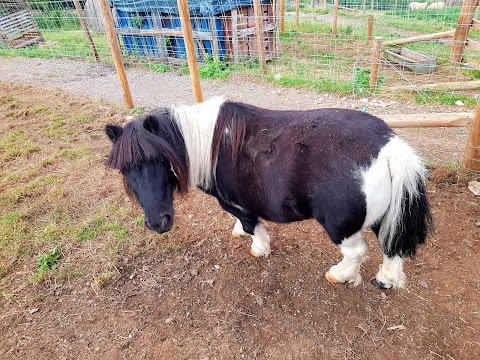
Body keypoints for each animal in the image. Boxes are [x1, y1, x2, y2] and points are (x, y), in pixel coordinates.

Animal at [105, 97, 432, 290]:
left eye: (163, 160)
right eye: (124, 169)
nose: (157, 223)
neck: (210, 143)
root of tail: (387, 145)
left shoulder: (236, 203)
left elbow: (253, 226)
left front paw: (258, 247)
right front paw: (239, 232)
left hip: (341, 227)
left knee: (357, 252)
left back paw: (339, 275)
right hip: (386, 213)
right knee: (392, 245)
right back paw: (385, 280)